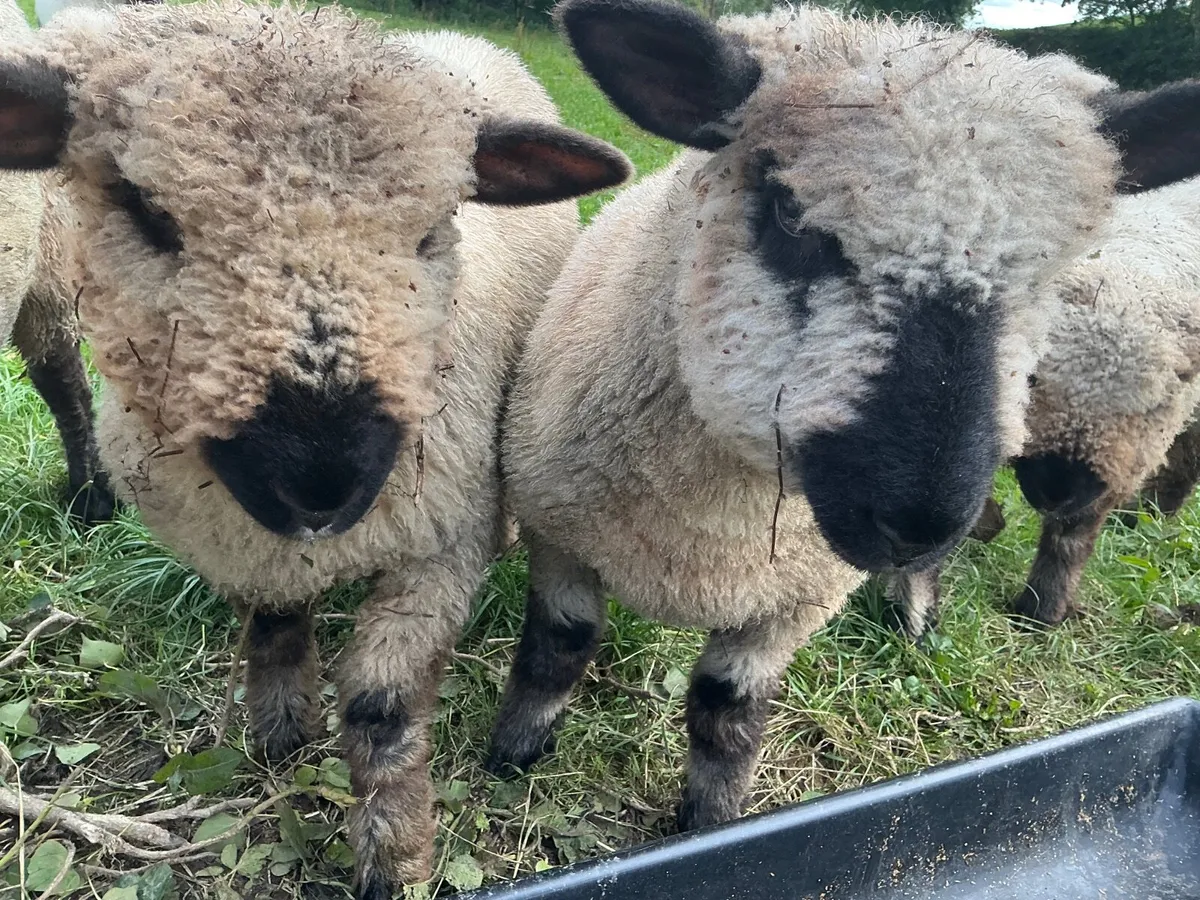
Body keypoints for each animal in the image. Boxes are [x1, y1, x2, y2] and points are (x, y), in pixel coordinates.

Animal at [0, 3, 630, 896]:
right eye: (143, 209)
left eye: (435, 226)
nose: (326, 479)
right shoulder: (245, 543)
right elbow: (271, 630)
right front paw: (281, 734)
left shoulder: (441, 538)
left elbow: (381, 706)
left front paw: (392, 855)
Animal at [889, 175, 1200, 637]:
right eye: (1032, 377)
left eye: (1154, 405)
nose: (1057, 489)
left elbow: (1069, 537)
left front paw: (1041, 611)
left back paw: (1152, 512)